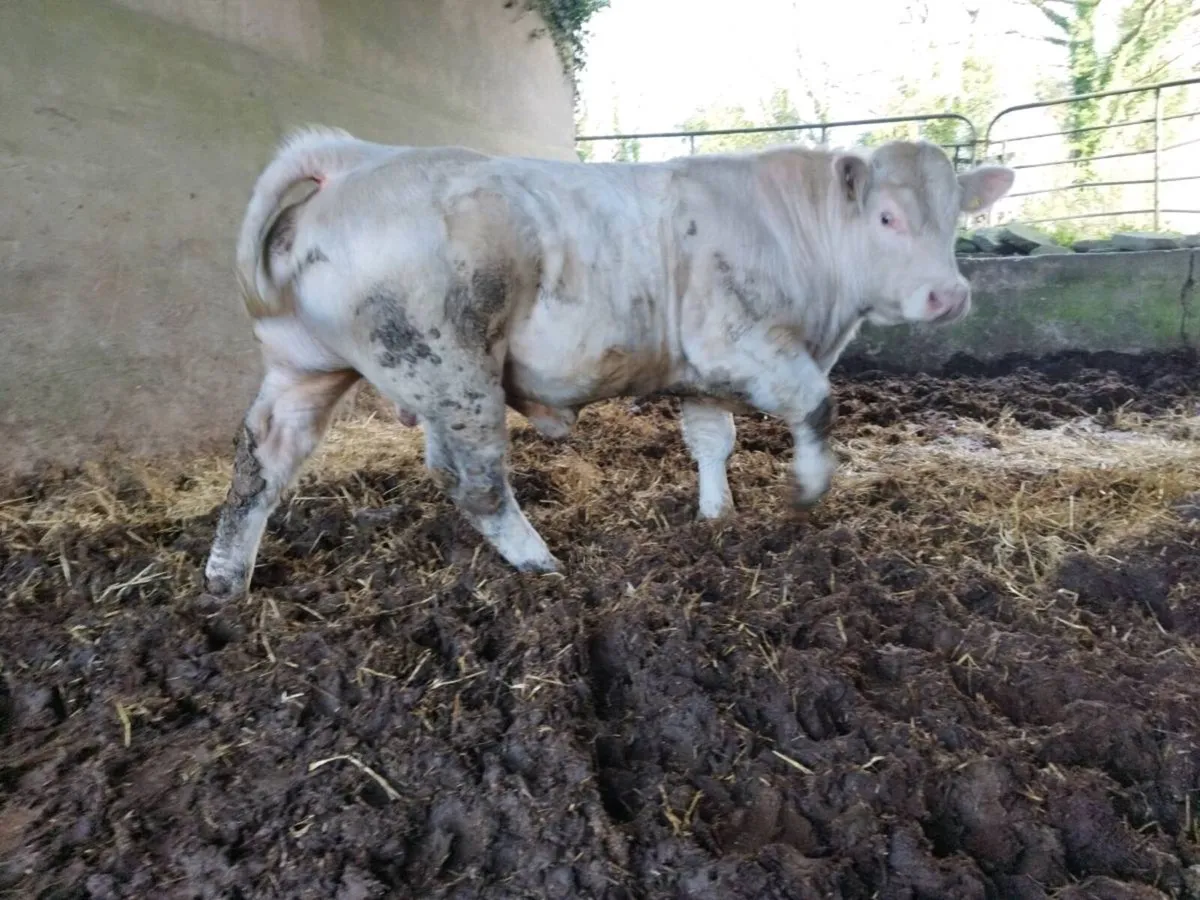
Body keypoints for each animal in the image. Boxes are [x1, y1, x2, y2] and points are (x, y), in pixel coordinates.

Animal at [202, 126, 1014, 599]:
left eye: (956, 219)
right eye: (888, 217)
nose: (949, 295)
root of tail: (359, 158)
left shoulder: (703, 372)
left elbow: (712, 441)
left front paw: (716, 516)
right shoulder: (739, 341)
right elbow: (817, 401)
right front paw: (809, 486)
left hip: (306, 367)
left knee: (262, 459)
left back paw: (225, 579)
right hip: (455, 369)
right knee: (477, 484)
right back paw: (539, 563)